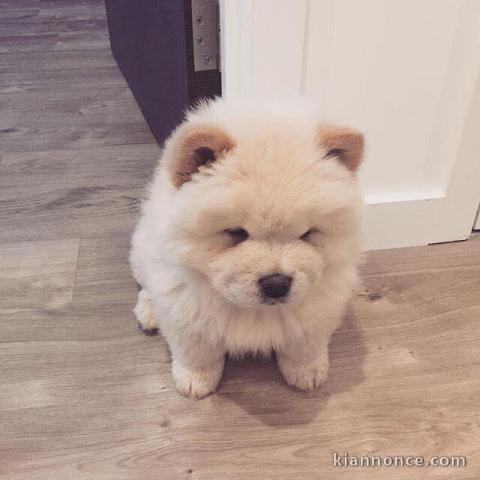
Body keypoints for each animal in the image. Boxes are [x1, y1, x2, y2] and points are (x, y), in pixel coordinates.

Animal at [128, 97, 364, 398]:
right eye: (236, 233)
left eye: (307, 234)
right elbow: (196, 351)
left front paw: (307, 373)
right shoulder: (187, 307)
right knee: (146, 284)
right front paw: (195, 381)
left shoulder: (319, 304)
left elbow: (305, 344)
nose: (276, 283)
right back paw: (148, 312)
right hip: (142, 249)